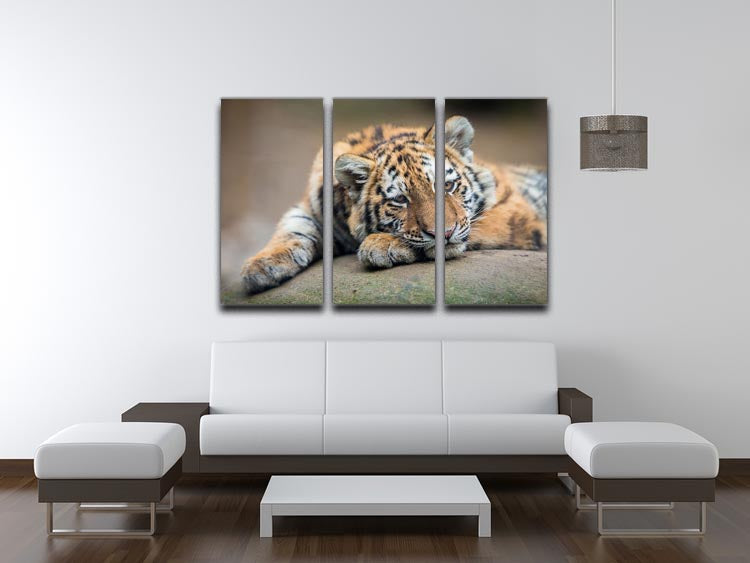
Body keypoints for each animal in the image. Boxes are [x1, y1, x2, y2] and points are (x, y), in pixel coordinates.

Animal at [240, 115, 547, 295]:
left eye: (447, 186)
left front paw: (381, 245)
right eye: (400, 200)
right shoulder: (311, 208)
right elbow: (293, 227)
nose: (445, 233)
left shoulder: (515, 209)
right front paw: (261, 266)